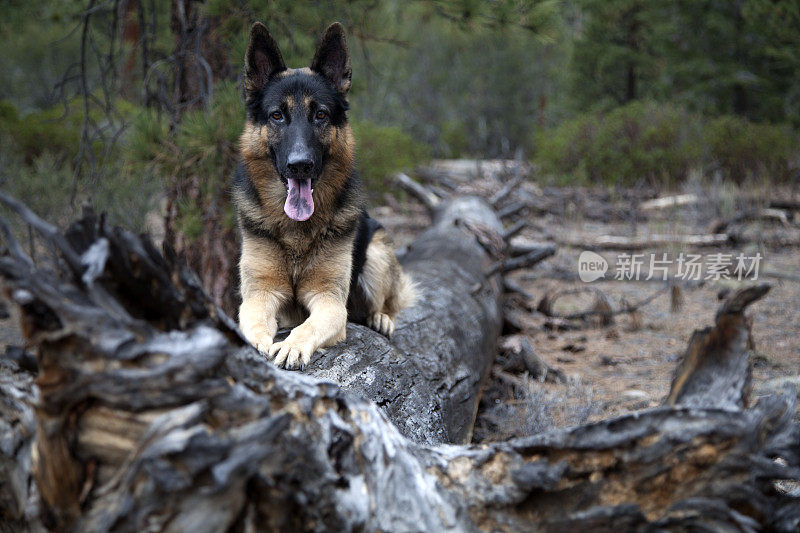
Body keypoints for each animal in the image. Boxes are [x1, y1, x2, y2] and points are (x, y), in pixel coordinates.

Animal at [231, 21, 416, 370]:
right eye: (277, 115)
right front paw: (255, 342)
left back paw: (380, 318)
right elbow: (252, 320)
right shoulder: (260, 293)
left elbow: (310, 324)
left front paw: (292, 345)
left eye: (320, 115)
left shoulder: (329, 300)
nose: (300, 165)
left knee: (386, 302)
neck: (296, 233)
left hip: (377, 252)